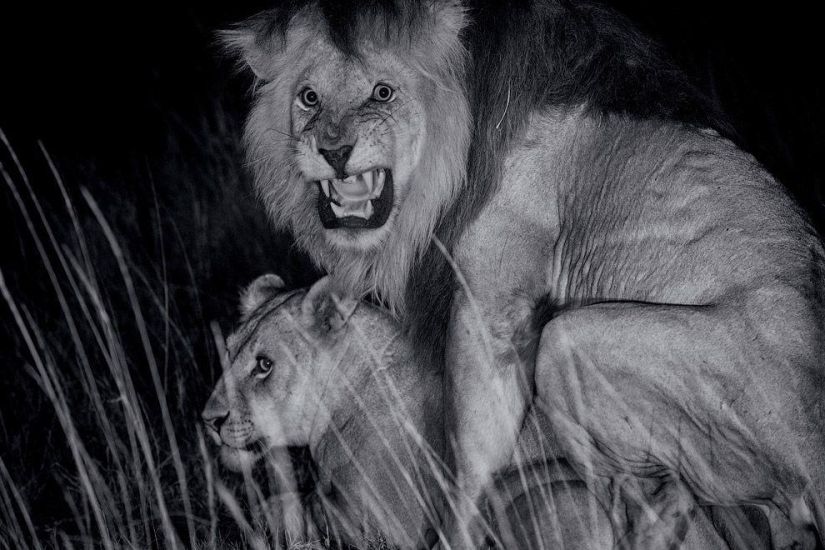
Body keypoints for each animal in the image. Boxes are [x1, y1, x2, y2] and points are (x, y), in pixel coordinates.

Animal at [224, 1, 825, 548]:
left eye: (382, 92)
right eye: (309, 97)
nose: (333, 150)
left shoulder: (492, 304)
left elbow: (472, 450)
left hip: (577, 344)